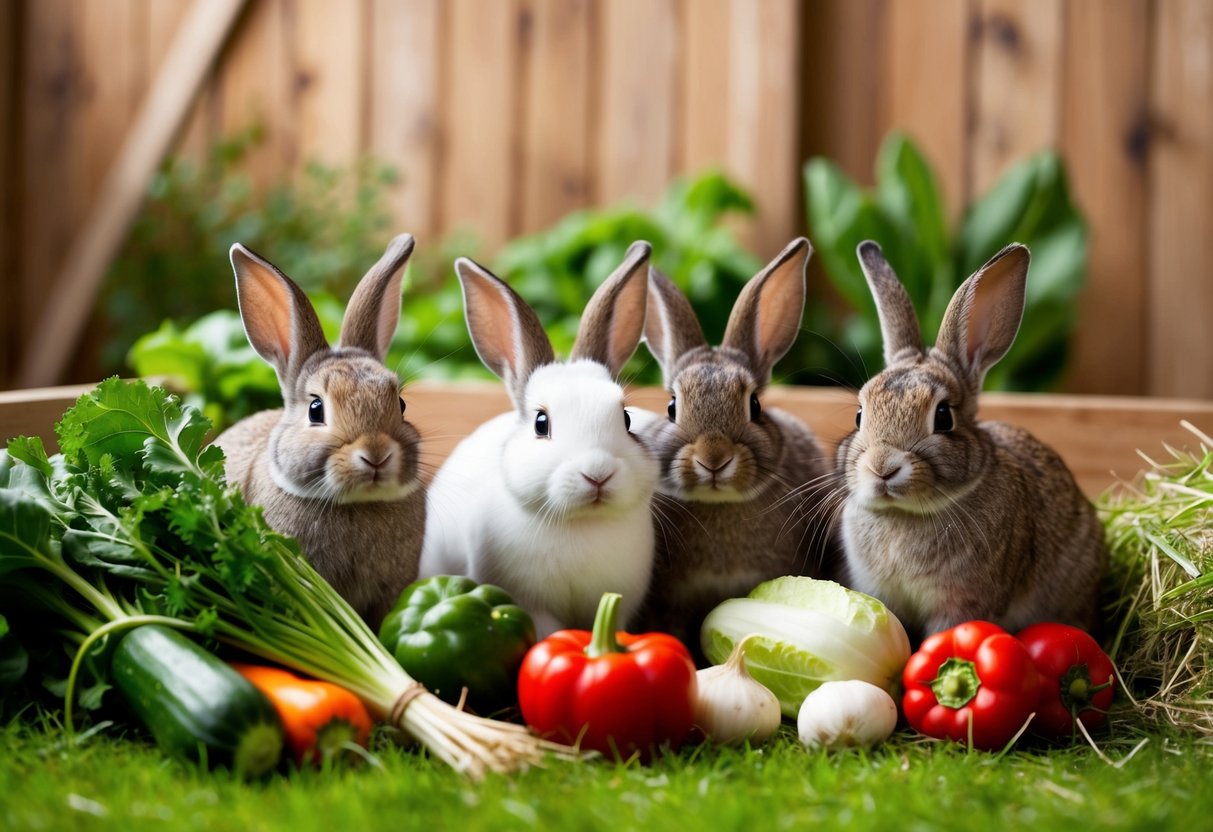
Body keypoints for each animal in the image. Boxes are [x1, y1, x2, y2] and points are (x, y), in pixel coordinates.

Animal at [419, 242, 660, 638]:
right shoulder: (533, 605)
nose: (598, 473)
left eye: (625, 418)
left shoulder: (616, 602)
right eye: (541, 423)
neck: (581, 524)